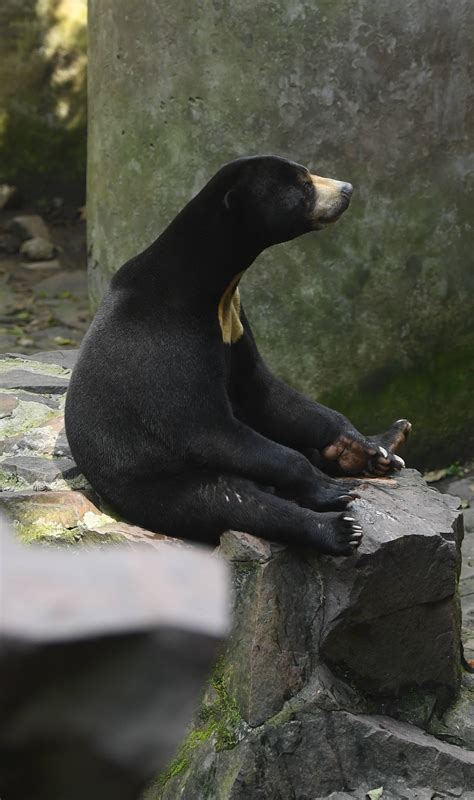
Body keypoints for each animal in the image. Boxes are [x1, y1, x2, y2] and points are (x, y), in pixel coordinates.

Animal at [65, 155, 411, 557]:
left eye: (307, 174)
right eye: (304, 185)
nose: (348, 189)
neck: (217, 288)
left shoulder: (234, 323)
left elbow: (266, 391)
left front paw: (367, 447)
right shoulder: (168, 343)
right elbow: (207, 429)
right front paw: (331, 488)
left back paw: (384, 444)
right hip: (152, 482)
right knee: (232, 501)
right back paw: (338, 526)